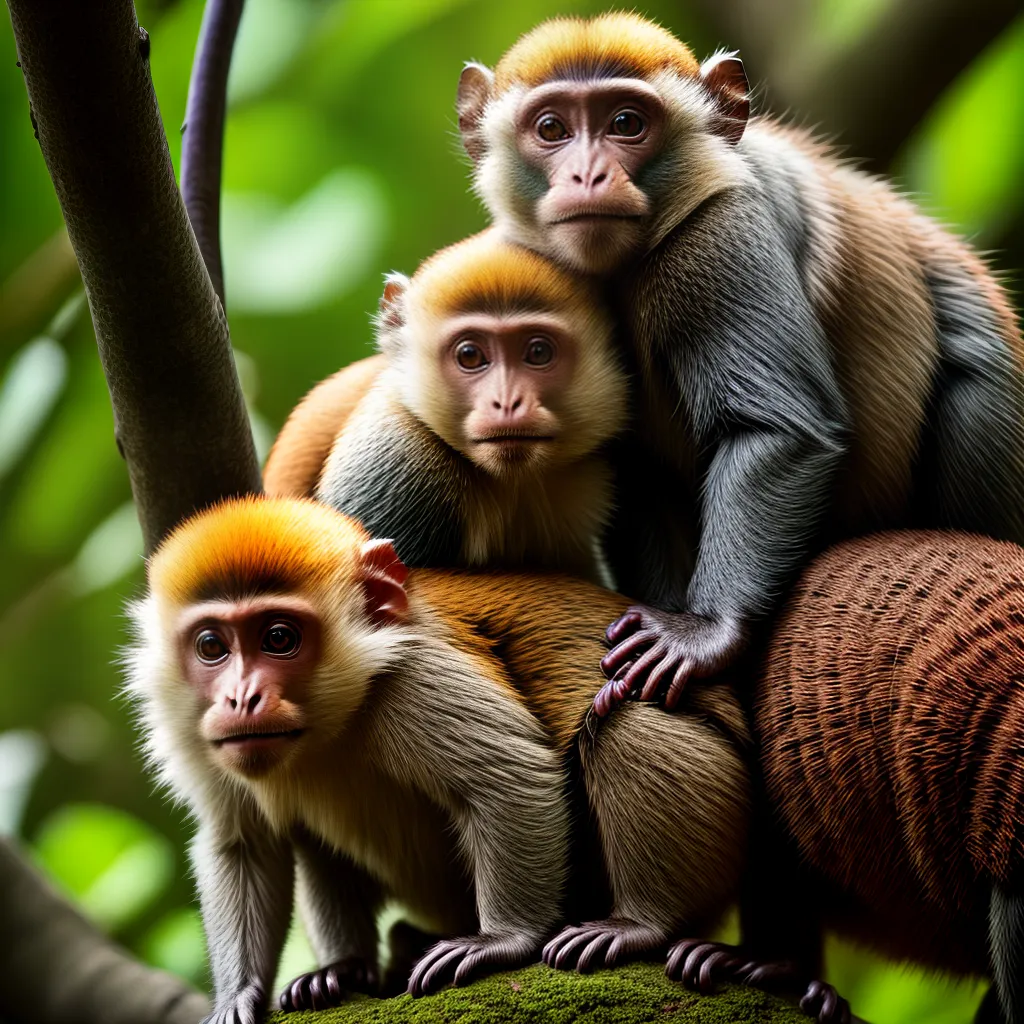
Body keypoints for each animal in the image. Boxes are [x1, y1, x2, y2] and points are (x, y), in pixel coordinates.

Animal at [124, 495, 768, 1024]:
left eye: (279, 638)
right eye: (212, 646)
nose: (241, 698)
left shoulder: (413, 678)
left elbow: (512, 778)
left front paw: (502, 942)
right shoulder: (199, 736)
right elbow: (242, 843)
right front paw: (238, 995)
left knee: (626, 725)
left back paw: (641, 925)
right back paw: (347, 969)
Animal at [455, 11, 1024, 715]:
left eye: (626, 123)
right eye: (552, 129)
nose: (588, 175)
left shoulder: (721, 234)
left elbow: (780, 431)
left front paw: (705, 632)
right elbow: (637, 474)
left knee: (972, 390)